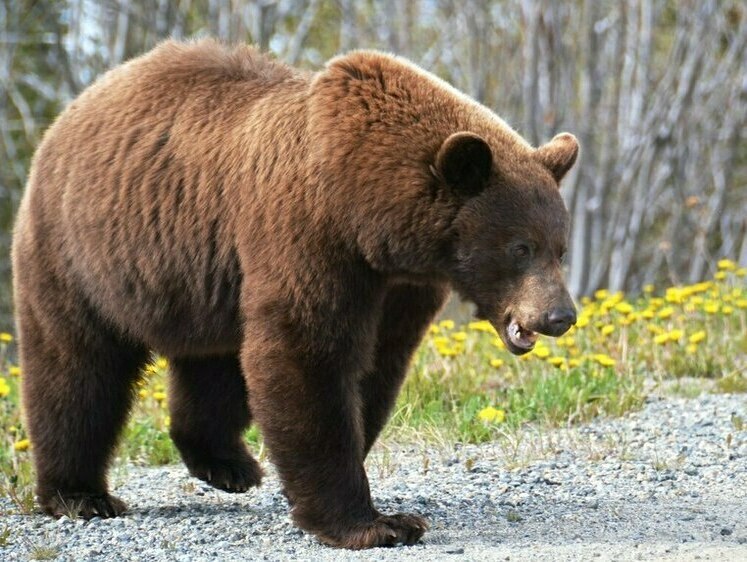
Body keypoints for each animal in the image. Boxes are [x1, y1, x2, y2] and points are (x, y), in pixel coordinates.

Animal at [13, 39, 580, 548]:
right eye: (520, 247)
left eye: (560, 247)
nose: (560, 315)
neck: (371, 217)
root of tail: (70, 112)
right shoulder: (308, 235)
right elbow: (308, 356)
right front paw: (377, 523)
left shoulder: (402, 287)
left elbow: (375, 367)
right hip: (80, 254)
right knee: (78, 367)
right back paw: (81, 495)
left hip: (205, 277)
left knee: (216, 364)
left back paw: (228, 464)